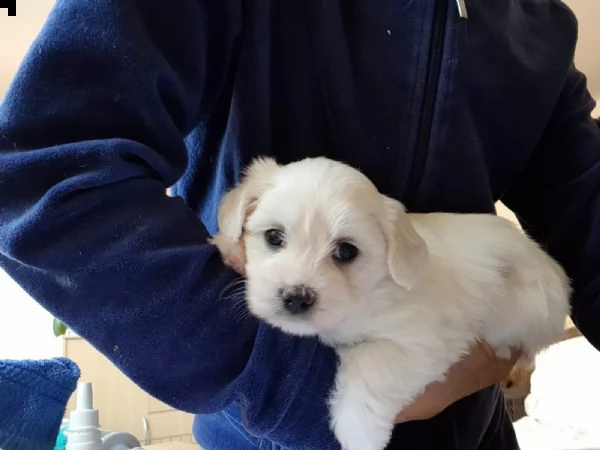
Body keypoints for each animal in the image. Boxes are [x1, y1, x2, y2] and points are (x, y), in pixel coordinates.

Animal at [209, 156, 568, 450]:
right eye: (273, 237)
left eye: (346, 251)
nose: (296, 297)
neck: (366, 295)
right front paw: (228, 248)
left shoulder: (422, 341)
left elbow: (370, 362)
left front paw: (359, 433)